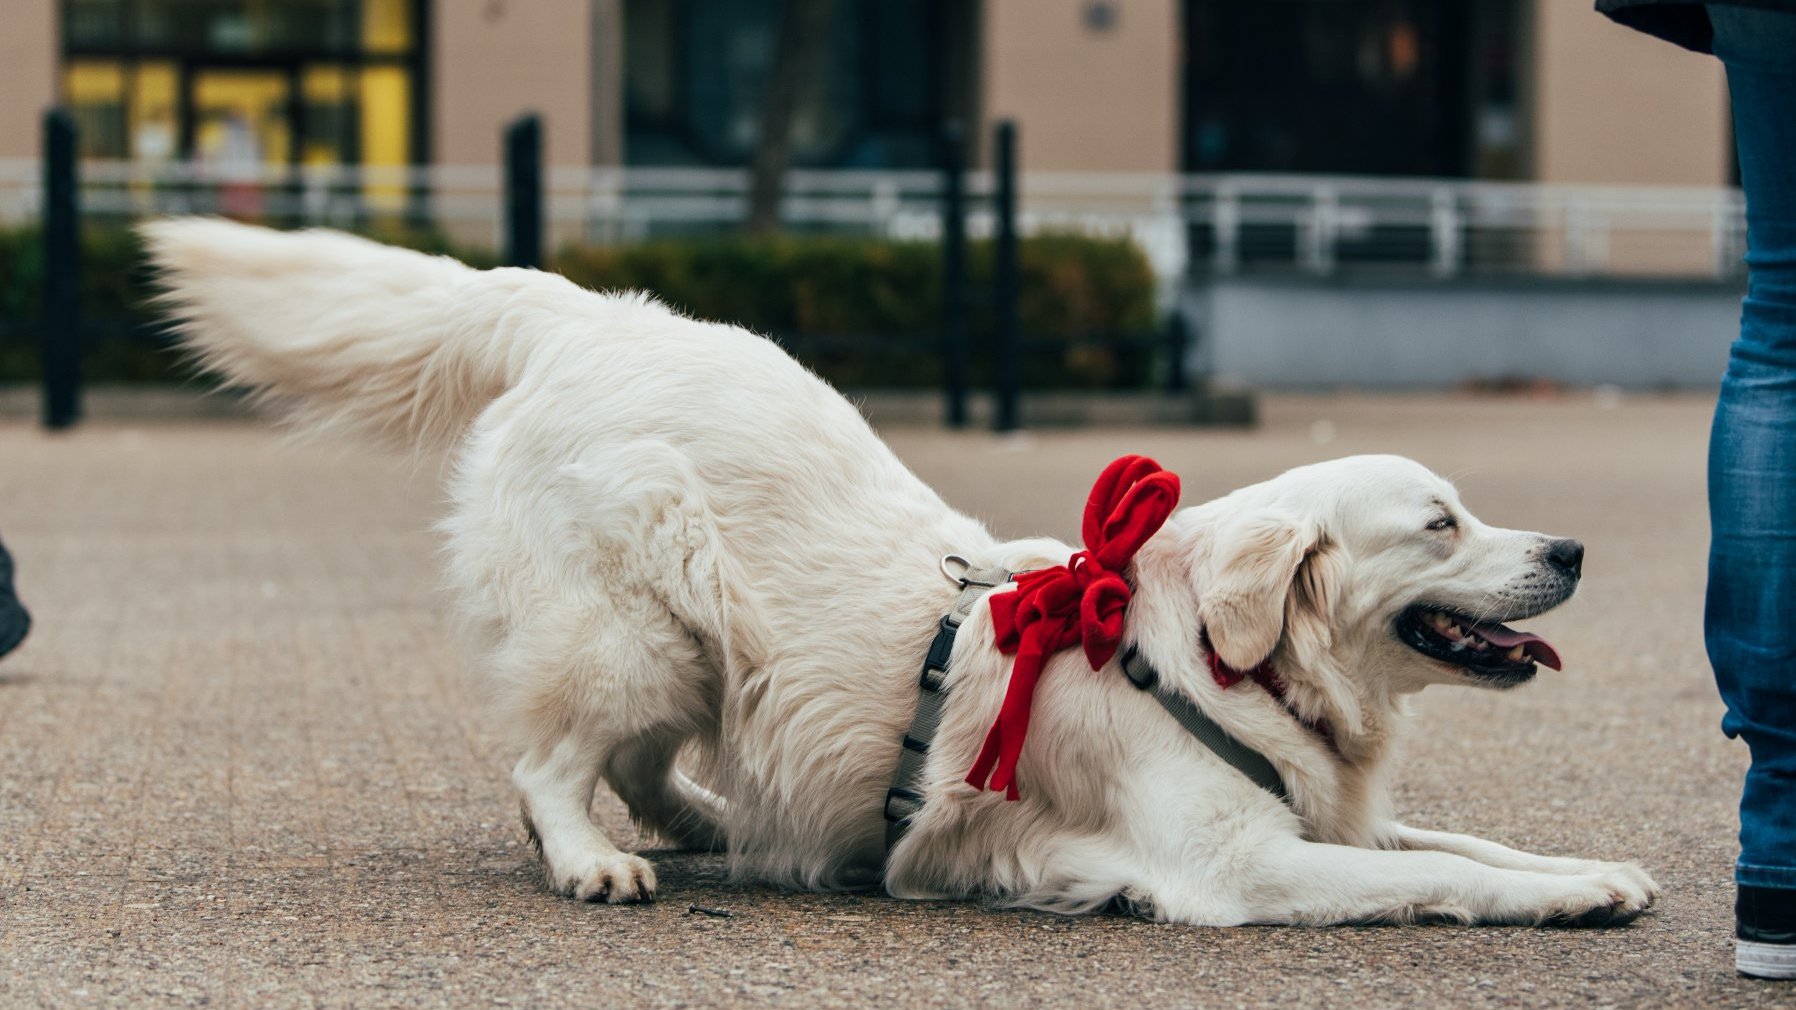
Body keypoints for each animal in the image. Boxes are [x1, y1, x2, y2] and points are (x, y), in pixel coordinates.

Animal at [147, 218, 1659, 920]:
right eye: (1440, 521)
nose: (1573, 547)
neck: (1221, 661)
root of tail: (586, 311)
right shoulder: (1238, 864)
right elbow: (1450, 875)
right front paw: (1564, 895)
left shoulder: (1322, 813)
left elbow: (1464, 841)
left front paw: (1596, 864)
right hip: (639, 621)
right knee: (549, 763)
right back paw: (593, 859)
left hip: (712, 649)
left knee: (638, 755)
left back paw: (706, 822)